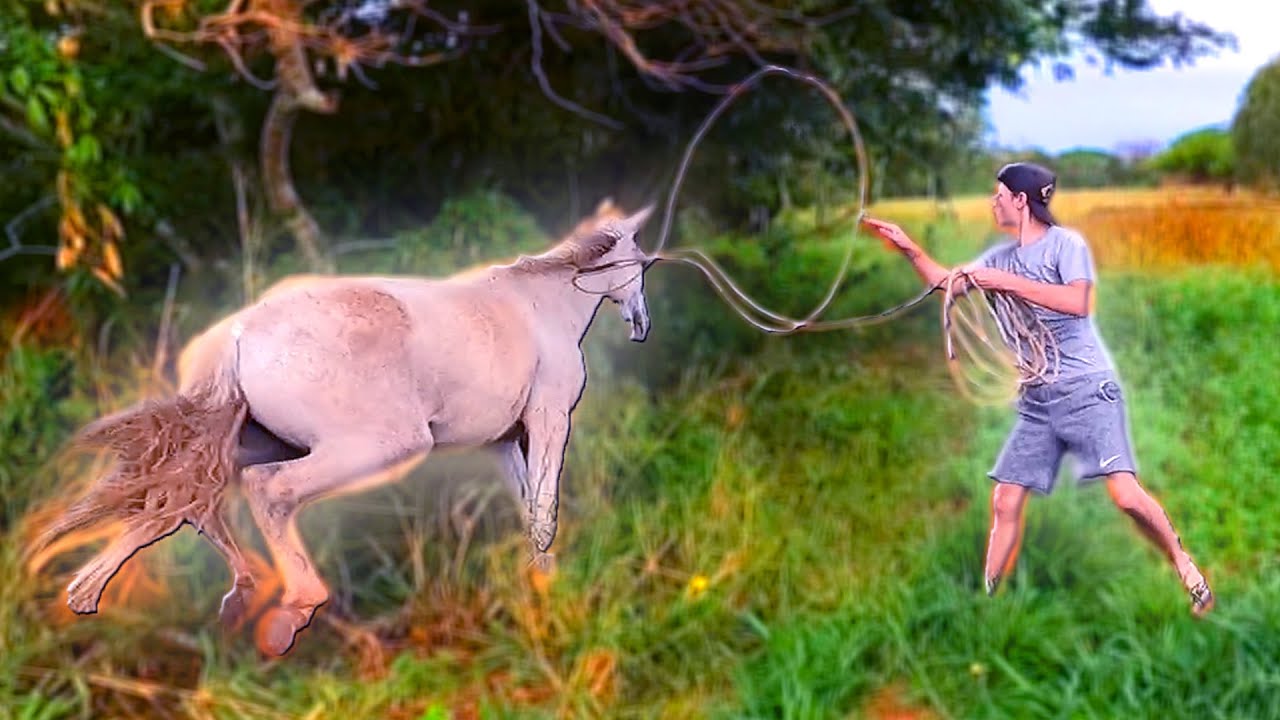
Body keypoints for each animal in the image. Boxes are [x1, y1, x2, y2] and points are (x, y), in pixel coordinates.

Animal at [33, 200, 655, 655]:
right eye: (640, 260)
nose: (641, 325)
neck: (542, 307)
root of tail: (235, 334)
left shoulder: (502, 442)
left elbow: (530, 507)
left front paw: (540, 582)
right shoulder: (549, 418)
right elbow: (546, 506)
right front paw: (551, 589)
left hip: (240, 444)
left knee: (181, 504)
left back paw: (108, 595)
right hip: (378, 445)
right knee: (265, 492)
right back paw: (293, 610)